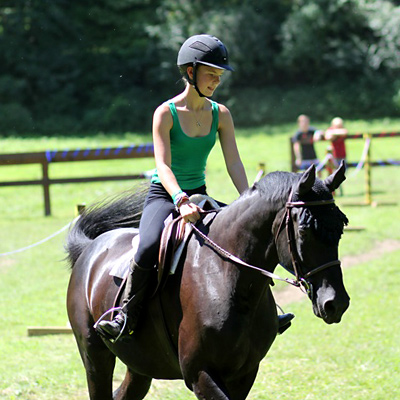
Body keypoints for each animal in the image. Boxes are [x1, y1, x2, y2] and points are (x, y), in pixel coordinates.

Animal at [65, 163, 350, 400]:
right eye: (304, 230)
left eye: (340, 229)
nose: (336, 303)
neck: (228, 278)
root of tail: (91, 248)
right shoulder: (200, 374)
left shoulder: (245, 373)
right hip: (95, 357)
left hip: (140, 365)